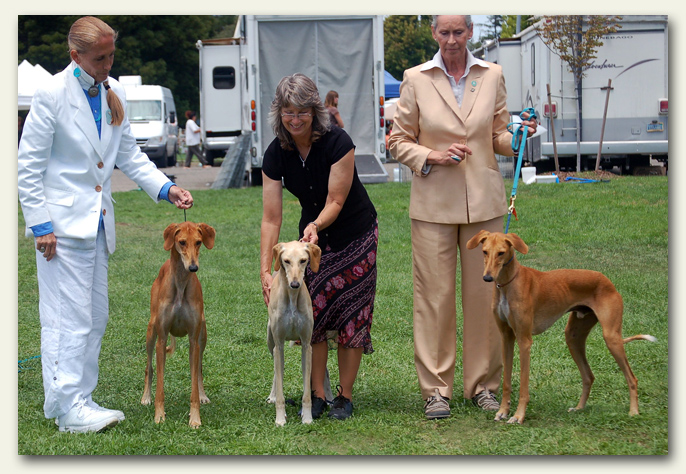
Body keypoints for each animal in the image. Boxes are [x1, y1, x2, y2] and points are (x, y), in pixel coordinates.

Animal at [144, 220, 218, 428]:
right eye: (182, 242)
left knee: (199, 369)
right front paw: (159, 416)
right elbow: (160, 385)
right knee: (148, 367)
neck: (180, 283)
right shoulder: (161, 340)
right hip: (151, 332)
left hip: (203, 335)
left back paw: (203, 395)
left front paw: (195, 418)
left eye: (199, 242)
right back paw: (146, 397)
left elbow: (194, 380)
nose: (193, 268)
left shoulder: (194, 340)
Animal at [268, 241, 324, 426]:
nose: (294, 284)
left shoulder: (307, 345)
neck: (292, 297)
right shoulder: (279, 344)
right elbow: (280, 388)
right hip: (271, 341)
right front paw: (280, 419)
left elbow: (307, 392)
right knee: (276, 371)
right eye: (286, 261)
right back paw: (272, 396)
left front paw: (307, 418)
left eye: (303, 260)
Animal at [468, 231, 656, 426]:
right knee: (588, 376)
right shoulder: (506, 337)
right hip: (573, 338)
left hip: (611, 337)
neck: (508, 284)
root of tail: (607, 280)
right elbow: (506, 381)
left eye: (501, 253)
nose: (487, 278)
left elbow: (523, 386)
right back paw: (579, 408)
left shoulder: (524, 340)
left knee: (631, 377)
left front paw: (518, 415)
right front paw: (503, 411)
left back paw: (633, 412)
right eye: (484, 251)